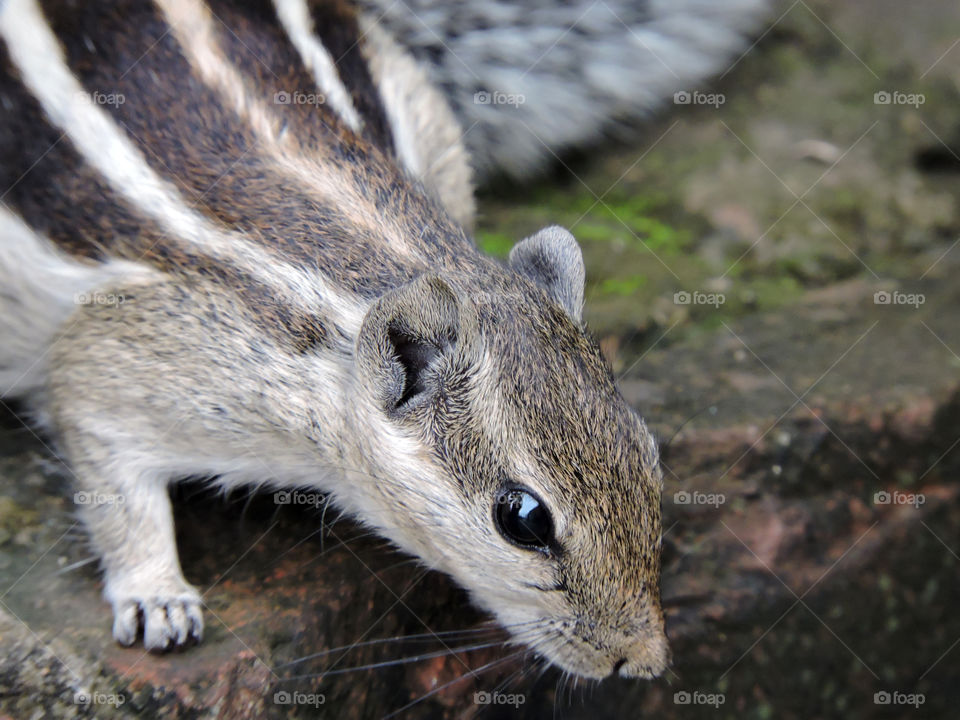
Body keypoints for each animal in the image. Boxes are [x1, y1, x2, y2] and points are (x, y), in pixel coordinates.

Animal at [0, 0, 766, 680]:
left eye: (649, 455)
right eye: (523, 520)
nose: (645, 661)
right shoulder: (137, 356)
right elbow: (105, 457)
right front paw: (156, 593)